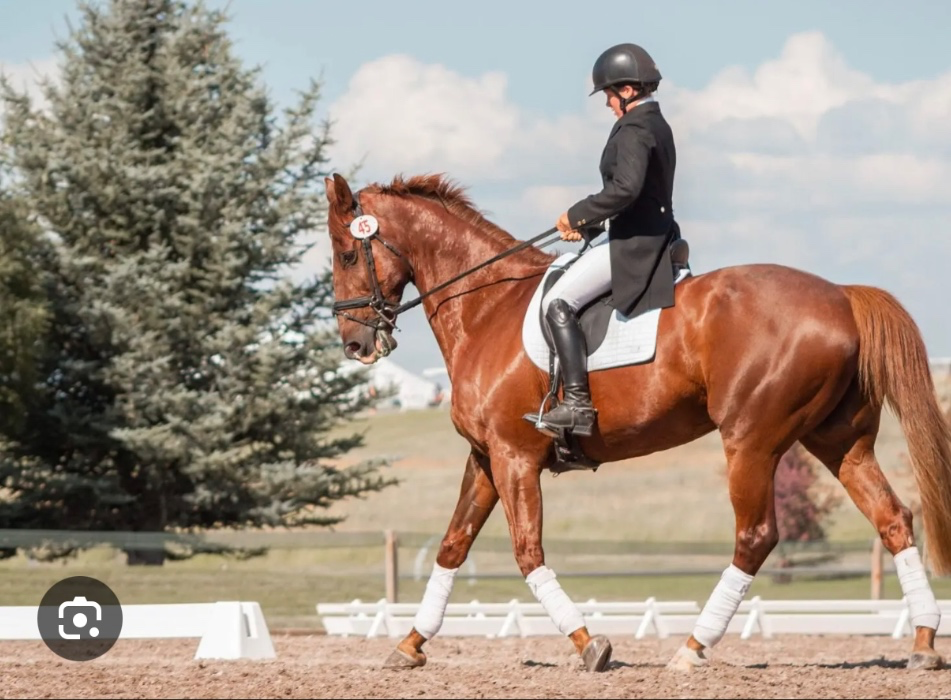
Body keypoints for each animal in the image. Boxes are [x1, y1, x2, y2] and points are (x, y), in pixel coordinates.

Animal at [323, 171, 951, 673]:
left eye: (348, 254)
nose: (355, 344)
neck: (486, 307)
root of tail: (842, 296)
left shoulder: (514, 457)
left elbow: (528, 552)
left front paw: (588, 645)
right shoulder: (486, 456)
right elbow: (453, 545)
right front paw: (409, 644)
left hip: (751, 441)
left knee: (755, 536)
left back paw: (693, 649)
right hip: (839, 441)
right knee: (892, 519)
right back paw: (922, 643)